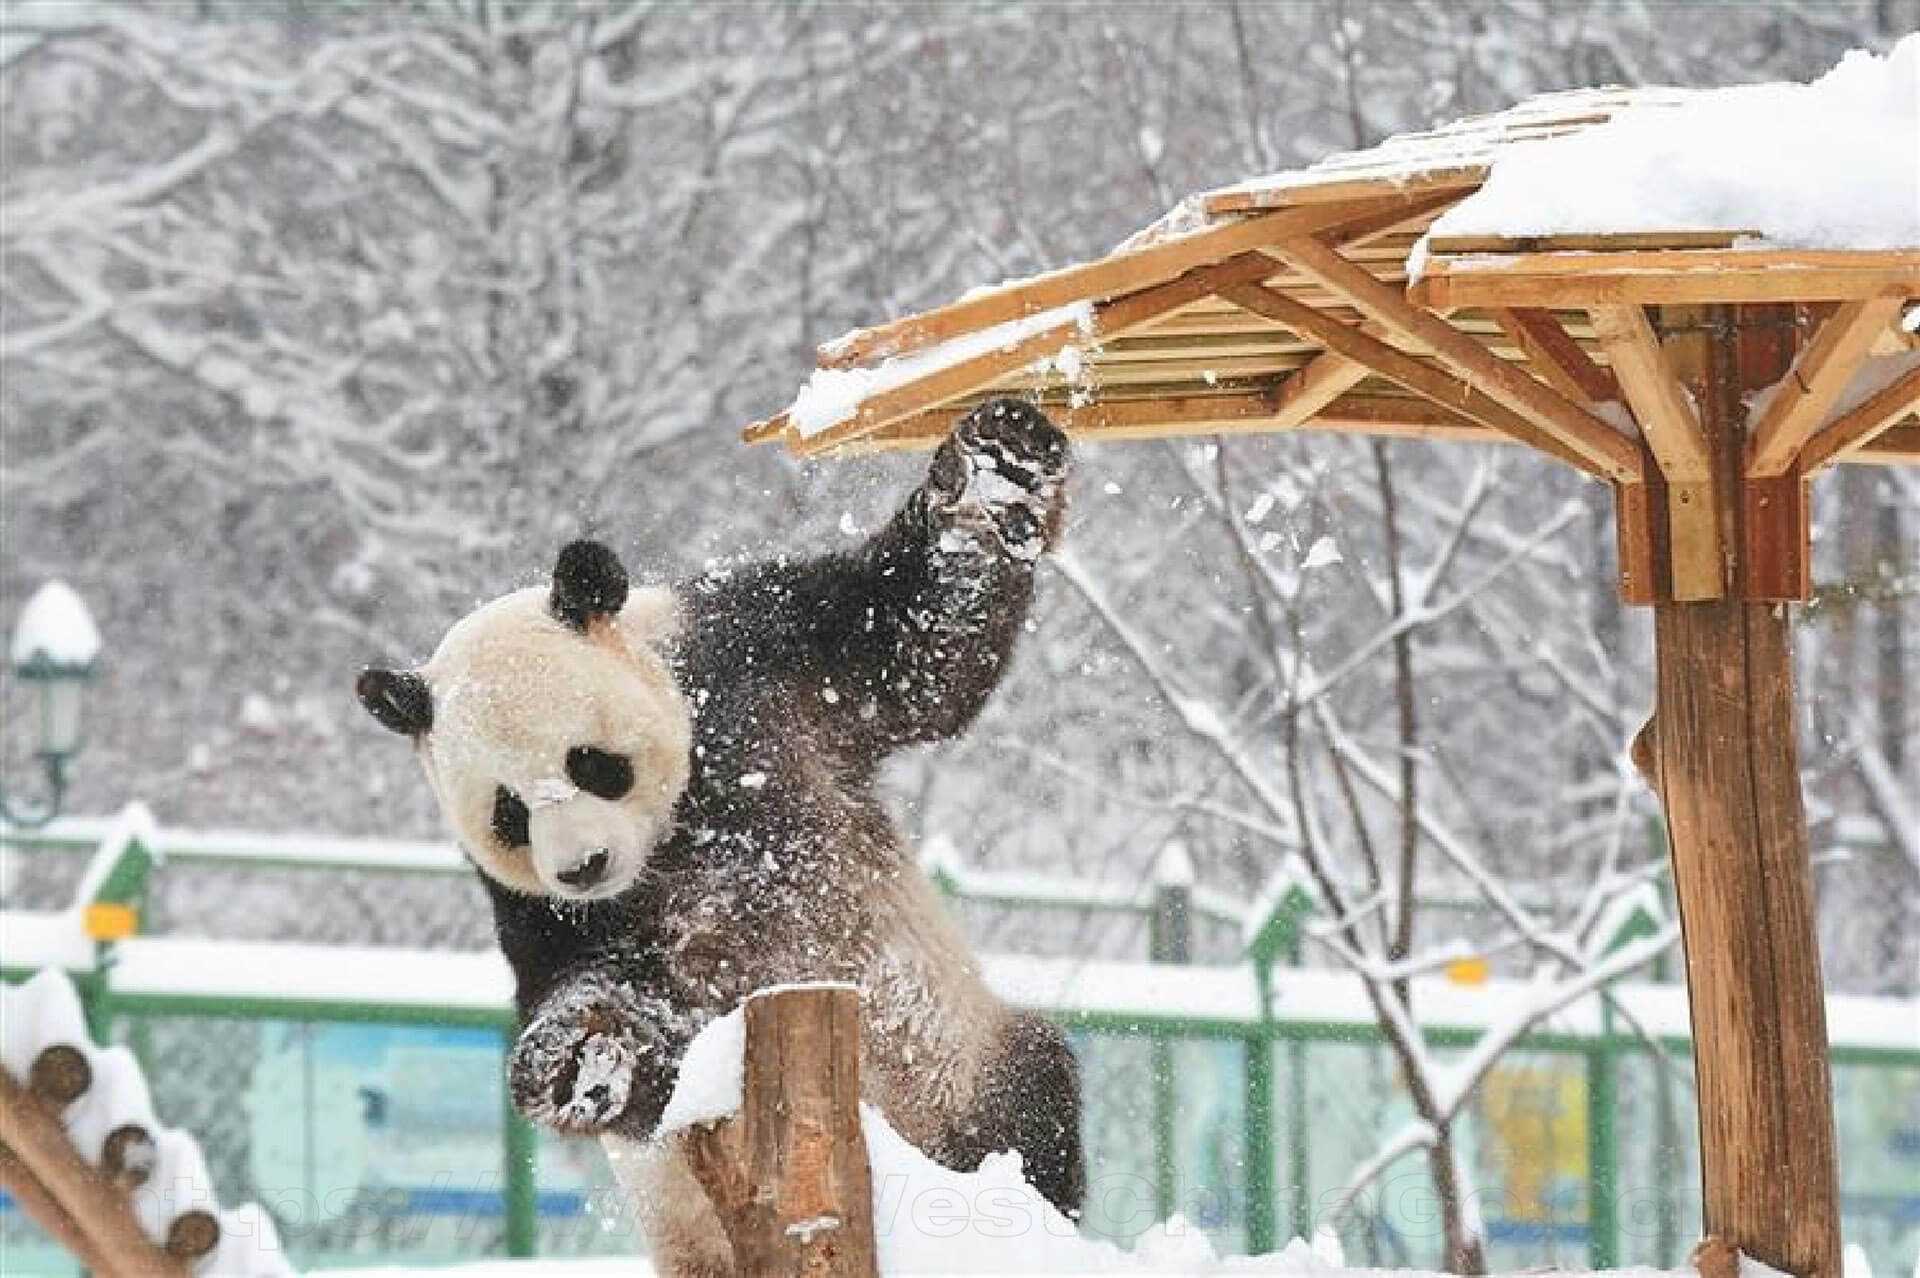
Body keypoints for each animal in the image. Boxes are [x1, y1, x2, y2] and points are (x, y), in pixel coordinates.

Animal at [355, 401, 1090, 1274]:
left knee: (1033, 1108)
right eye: (509, 813)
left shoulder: (754, 660)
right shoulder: (531, 905)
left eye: (590, 763)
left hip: (964, 1062)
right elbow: (586, 986)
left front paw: (997, 463)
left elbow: (914, 649)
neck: (673, 831)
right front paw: (578, 1058)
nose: (584, 867)